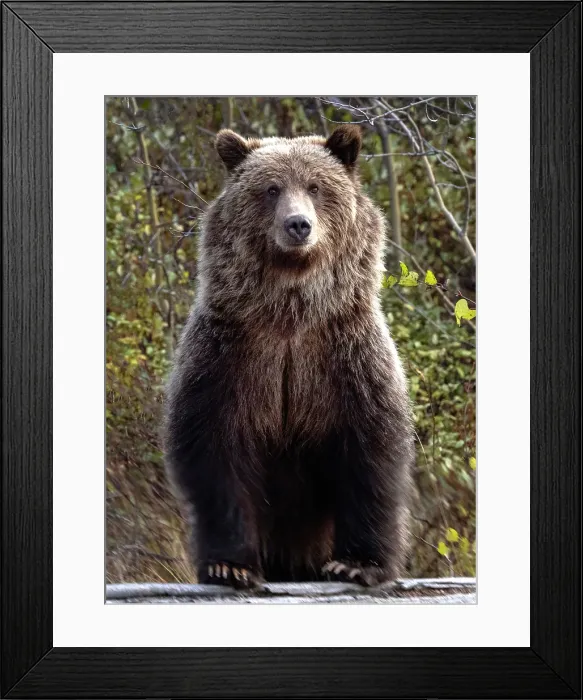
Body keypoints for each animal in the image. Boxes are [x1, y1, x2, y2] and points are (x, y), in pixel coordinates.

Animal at [164, 124, 414, 588]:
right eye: (271, 188)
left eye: (316, 187)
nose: (298, 224)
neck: (290, 313)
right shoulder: (231, 354)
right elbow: (214, 448)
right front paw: (230, 565)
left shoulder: (345, 356)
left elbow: (371, 452)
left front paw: (357, 563)